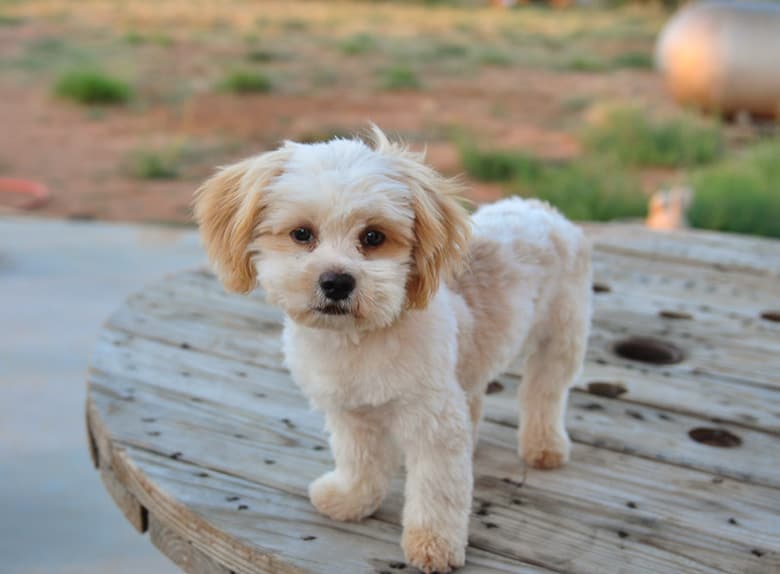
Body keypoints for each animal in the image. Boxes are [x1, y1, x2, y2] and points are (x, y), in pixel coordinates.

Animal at [193, 128, 592, 572]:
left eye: (373, 237)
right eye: (301, 234)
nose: (337, 281)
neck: (356, 341)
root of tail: (540, 207)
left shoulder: (433, 423)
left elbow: (437, 491)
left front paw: (433, 544)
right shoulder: (351, 414)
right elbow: (359, 461)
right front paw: (351, 499)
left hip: (560, 338)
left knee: (544, 393)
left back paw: (544, 446)